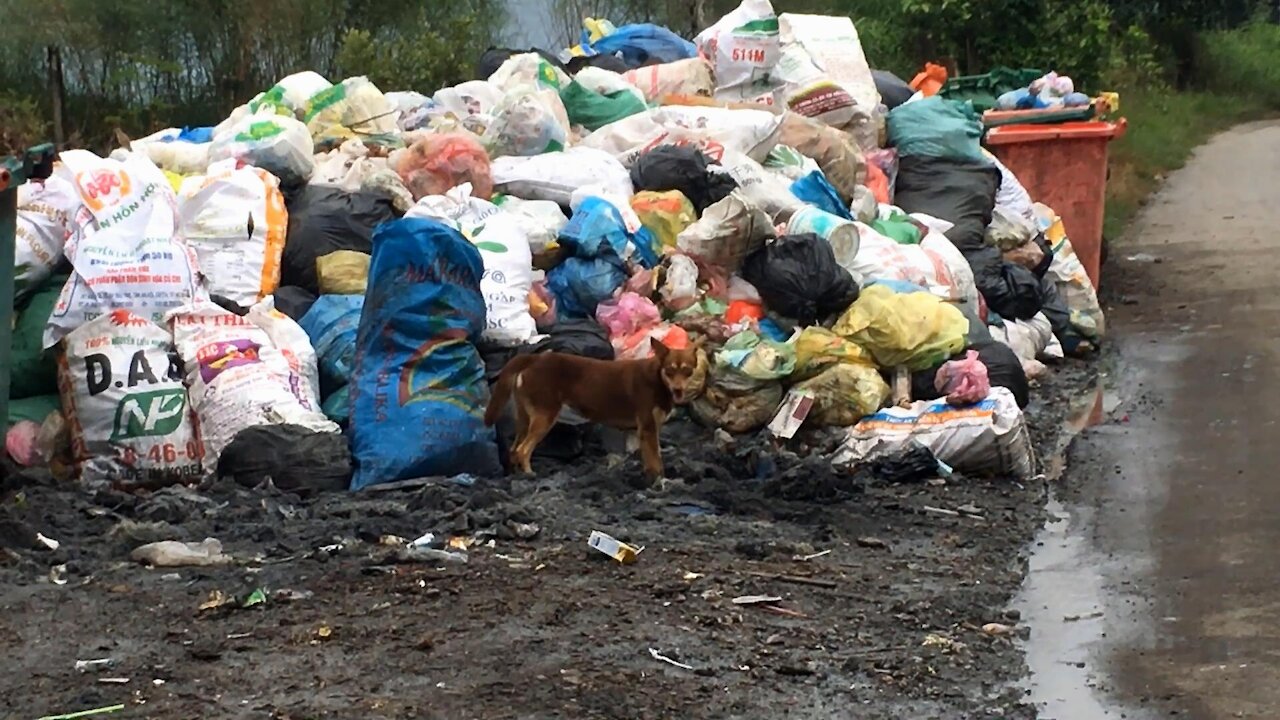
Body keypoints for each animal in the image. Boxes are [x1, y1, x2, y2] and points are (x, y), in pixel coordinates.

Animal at [481, 338, 701, 481]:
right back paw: (529, 474)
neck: (657, 378)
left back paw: (514, 475)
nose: (678, 390)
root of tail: (534, 358)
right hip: (545, 416)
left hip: (524, 417)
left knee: (513, 449)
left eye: (688, 371)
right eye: (670, 371)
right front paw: (659, 483)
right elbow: (656, 460)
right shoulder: (648, 427)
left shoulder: (640, 432)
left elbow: (649, 458)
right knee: (523, 450)